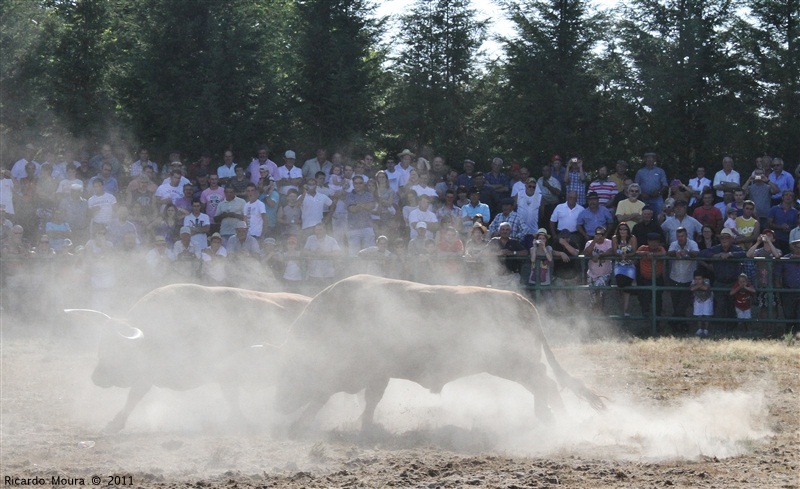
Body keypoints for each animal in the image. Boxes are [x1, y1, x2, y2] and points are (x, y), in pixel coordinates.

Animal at [272, 274, 604, 430]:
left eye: (289, 369)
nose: (279, 404)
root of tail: (522, 301)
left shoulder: (370, 373)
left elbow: (333, 397)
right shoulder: (376, 374)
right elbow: (363, 400)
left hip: (513, 365)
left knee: (545, 383)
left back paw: (554, 417)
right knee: (545, 384)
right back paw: (552, 416)